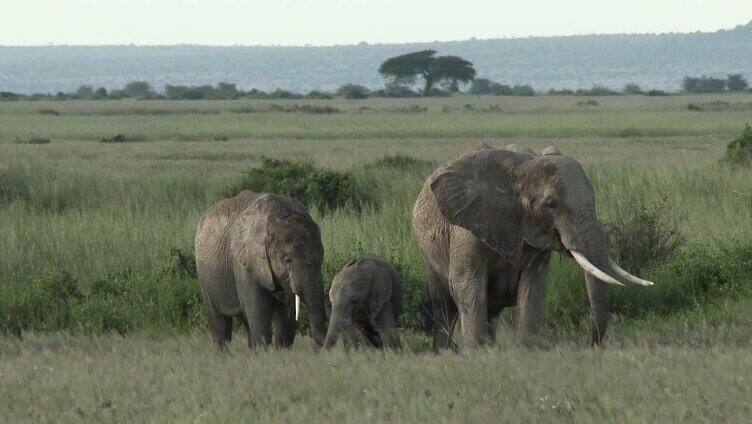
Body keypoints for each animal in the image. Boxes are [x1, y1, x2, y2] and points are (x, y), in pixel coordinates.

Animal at [194, 190, 326, 350]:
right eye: (288, 260)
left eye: (321, 257)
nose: (317, 348)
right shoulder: (244, 265)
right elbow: (259, 315)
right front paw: (265, 353)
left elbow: (287, 315)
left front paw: (280, 352)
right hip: (204, 275)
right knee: (220, 323)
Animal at [412, 144, 652, 350]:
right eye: (551, 205)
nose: (592, 343)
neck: (521, 166)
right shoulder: (467, 226)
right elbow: (468, 283)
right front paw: (476, 350)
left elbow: (533, 284)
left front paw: (529, 347)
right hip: (429, 253)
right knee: (443, 304)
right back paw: (445, 351)